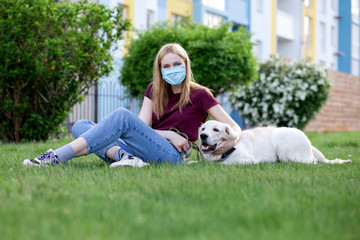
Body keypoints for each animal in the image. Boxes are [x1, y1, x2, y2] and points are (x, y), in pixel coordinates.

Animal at [197, 120, 352, 165]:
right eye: (203, 128)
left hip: (282, 146)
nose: (202, 135)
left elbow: (223, 164)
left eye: (216, 129)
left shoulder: (247, 159)